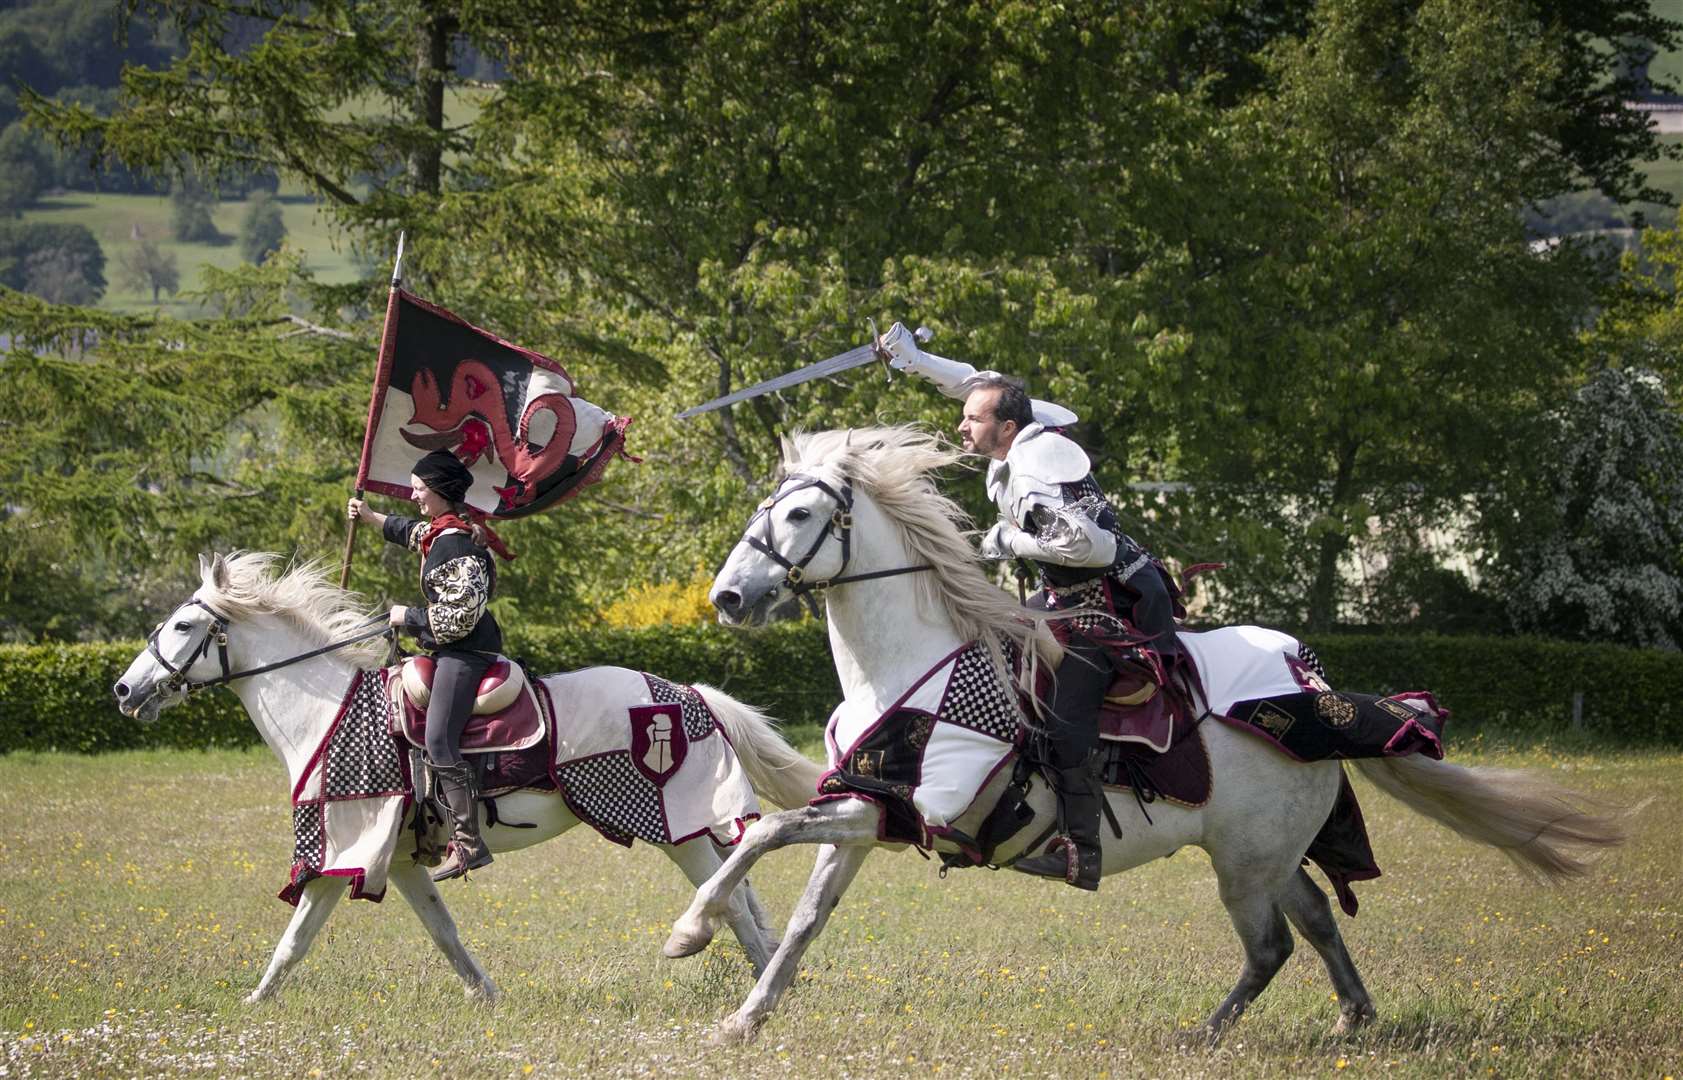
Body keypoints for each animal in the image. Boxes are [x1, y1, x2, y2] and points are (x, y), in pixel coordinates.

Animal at [110, 555, 821, 1002]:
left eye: (183, 624)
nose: (123, 691)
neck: (328, 709)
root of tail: (690, 694)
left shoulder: (342, 855)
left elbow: (293, 942)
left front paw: (251, 1008)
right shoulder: (396, 860)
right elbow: (444, 934)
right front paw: (488, 998)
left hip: (680, 829)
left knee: (734, 909)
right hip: (700, 831)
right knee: (742, 895)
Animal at [663, 427, 1622, 1042]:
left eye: (798, 517)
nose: (729, 597)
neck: (910, 661)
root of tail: (1315, 693)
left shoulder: (909, 812)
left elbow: (765, 832)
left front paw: (688, 931)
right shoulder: (869, 809)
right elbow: (800, 913)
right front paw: (742, 1018)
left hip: (1244, 865)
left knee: (1271, 944)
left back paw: (1204, 1035)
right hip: (1261, 854)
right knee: (1313, 920)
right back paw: (1352, 1017)